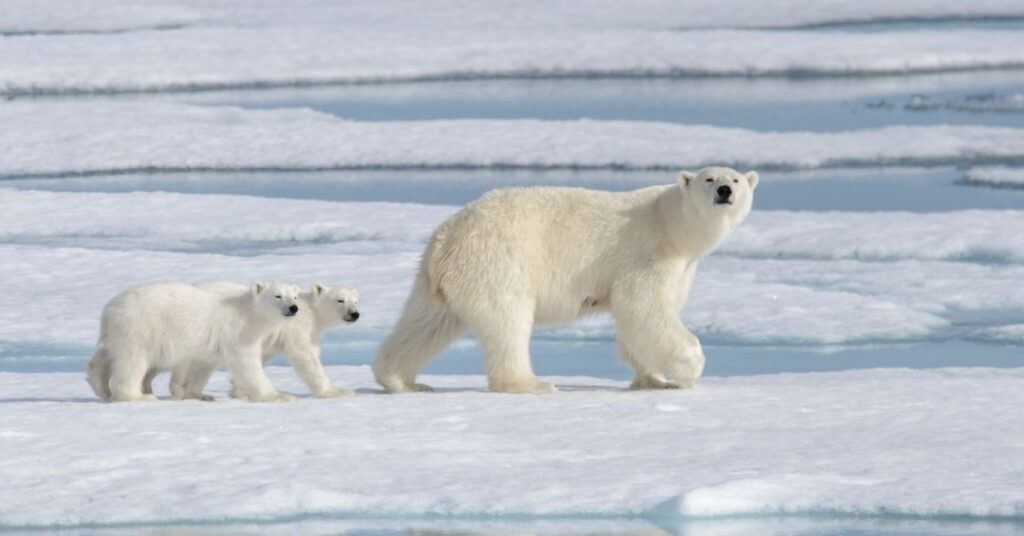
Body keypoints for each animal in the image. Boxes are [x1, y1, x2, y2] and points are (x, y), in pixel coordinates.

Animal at [87, 280, 299, 401]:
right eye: (278, 295)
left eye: (295, 296)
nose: (293, 308)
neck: (249, 313)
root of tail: (109, 310)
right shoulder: (238, 334)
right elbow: (247, 364)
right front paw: (279, 396)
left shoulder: (213, 344)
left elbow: (203, 365)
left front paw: (199, 394)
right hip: (141, 328)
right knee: (132, 362)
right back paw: (137, 396)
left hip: (121, 331)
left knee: (106, 354)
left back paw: (100, 385)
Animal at [180, 280, 360, 397]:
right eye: (340, 300)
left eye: (356, 301)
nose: (354, 314)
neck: (312, 313)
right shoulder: (297, 329)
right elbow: (305, 357)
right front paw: (337, 391)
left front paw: (239, 391)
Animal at [372, 167, 757, 393]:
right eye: (709, 178)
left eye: (736, 179)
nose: (725, 190)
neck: (672, 224)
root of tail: (446, 239)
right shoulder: (648, 253)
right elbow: (642, 306)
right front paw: (688, 371)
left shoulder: (682, 268)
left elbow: (639, 321)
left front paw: (652, 379)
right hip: (499, 263)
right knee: (508, 321)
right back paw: (532, 383)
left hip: (438, 282)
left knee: (425, 324)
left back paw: (400, 380)